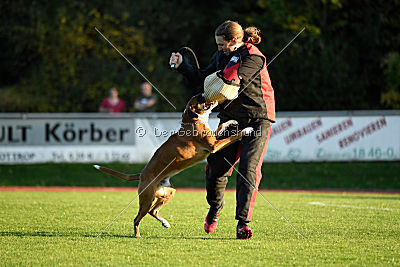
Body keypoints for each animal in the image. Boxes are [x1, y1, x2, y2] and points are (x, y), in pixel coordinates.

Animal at [94, 94, 250, 239]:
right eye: (198, 98)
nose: (203, 93)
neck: (192, 120)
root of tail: (142, 174)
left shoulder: (214, 139)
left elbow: (221, 127)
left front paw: (231, 121)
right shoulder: (214, 146)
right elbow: (233, 136)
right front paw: (247, 130)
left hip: (168, 193)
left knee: (153, 211)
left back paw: (165, 223)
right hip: (146, 199)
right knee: (137, 218)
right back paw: (137, 234)